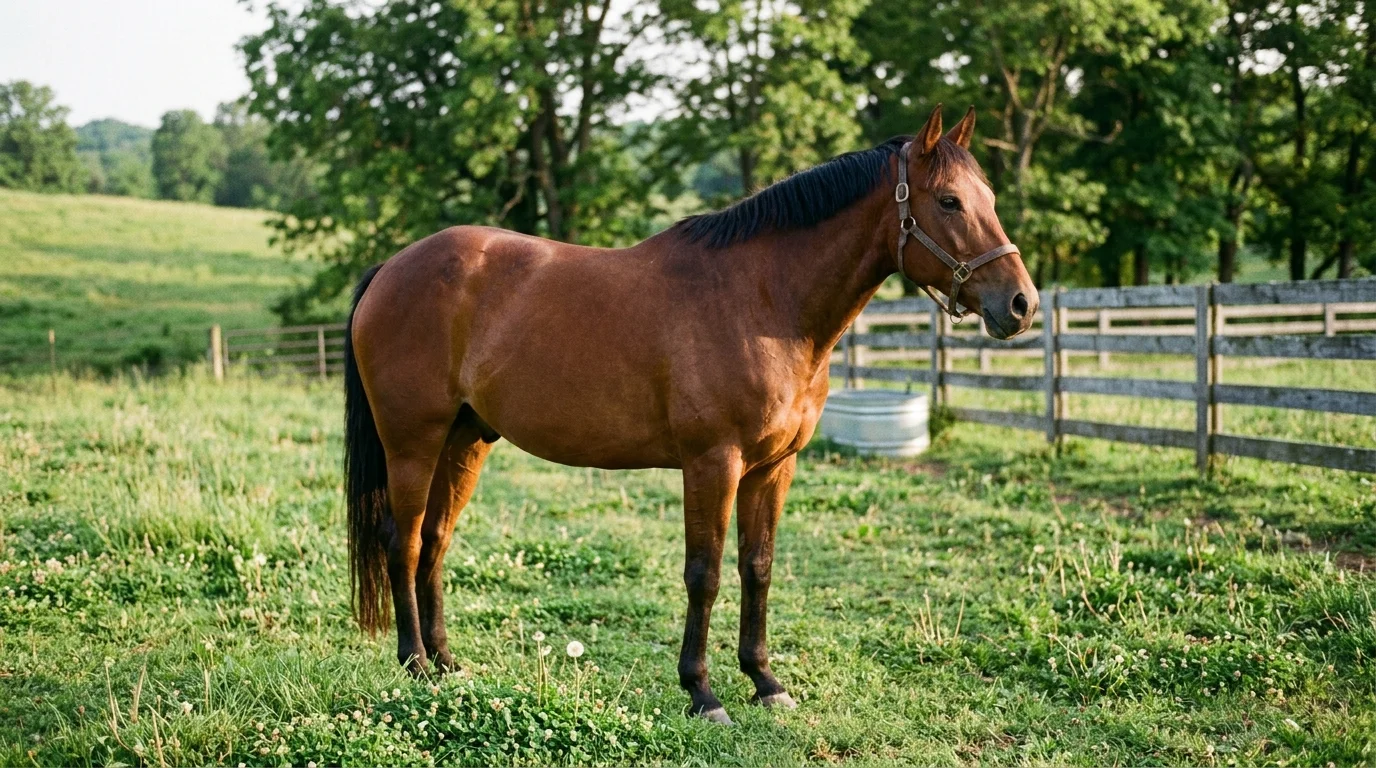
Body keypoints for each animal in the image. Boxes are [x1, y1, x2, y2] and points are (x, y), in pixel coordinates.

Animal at [342, 105, 1038, 723]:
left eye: (988, 197)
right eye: (948, 202)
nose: (1022, 304)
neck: (762, 300)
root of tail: (391, 268)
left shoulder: (773, 468)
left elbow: (757, 568)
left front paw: (764, 681)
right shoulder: (712, 463)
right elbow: (704, 574)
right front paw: (702, 693)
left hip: (465, 441)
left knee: (435, 542)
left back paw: (446, 662)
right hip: (413, 442)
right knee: (404, 542)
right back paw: (414, 664)